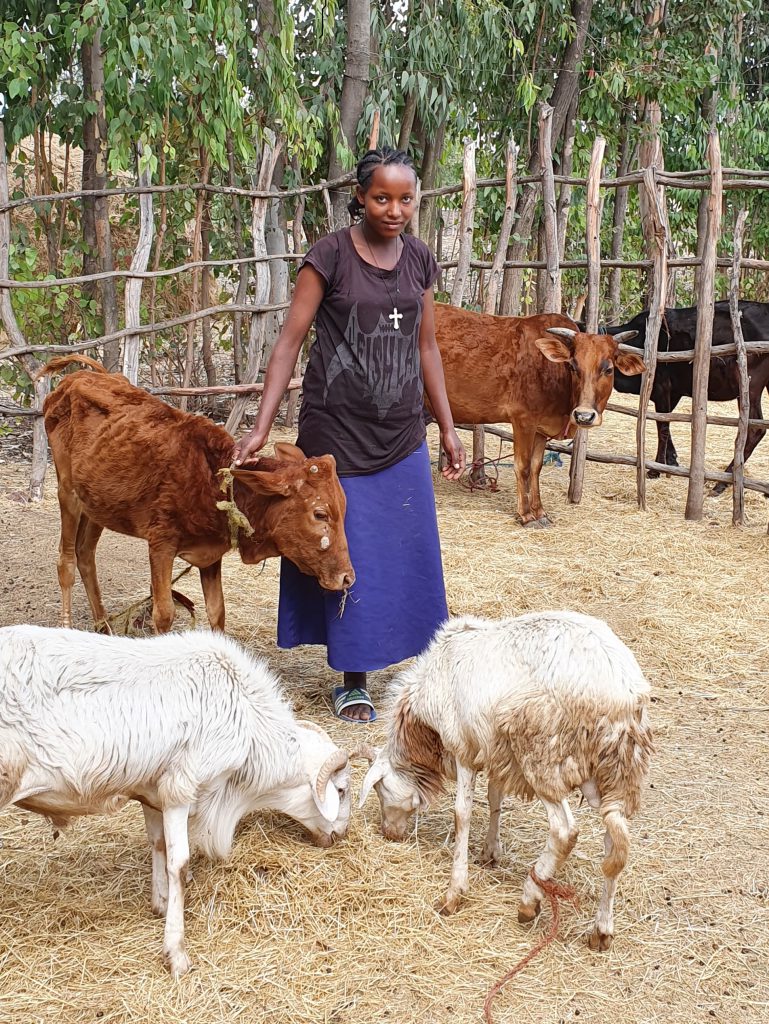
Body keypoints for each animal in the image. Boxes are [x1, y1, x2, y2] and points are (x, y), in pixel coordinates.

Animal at [0, 622, 360, 974]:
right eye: (341, 791)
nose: (340, 835)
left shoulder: (151, 790)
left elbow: (157, 845)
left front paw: (159, 903)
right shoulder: (180, 787)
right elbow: (178, 862)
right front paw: (176, 952)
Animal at [39, 358, 354, 630]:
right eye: (320, 514)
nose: (347, 578)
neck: (213, 482)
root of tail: (75, 378)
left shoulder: (210, 555)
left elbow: (217, 611)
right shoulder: (161, 545)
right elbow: (164, 614)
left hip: (96, 504)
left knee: (85, 555)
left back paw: (104, 627)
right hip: (67, 492)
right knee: (66, 562)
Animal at [358, 606, 651, 950]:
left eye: (380, 789)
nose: (389, 834)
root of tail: (621, 692)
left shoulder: (463, 748)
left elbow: (462, 814)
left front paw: (454, 892)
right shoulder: (495, 750)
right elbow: (494, 798)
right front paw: (489, 852)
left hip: (542, 753)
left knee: (565, 831)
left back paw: (530, 900)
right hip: (615, 771)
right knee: (615, 845)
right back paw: (601, 930)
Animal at [434, 301, 643, 528]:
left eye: (609, 369)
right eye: (573, 366)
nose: (584, 416)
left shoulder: (541, 429)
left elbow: (536, 468)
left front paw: (540, 512)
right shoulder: (523, 420)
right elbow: (523, 467)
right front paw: (526, 515)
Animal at [606, 299, 769, 491]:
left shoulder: (661, 388)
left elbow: (662, 426)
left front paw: (655, 469)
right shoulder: (674, 392)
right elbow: (665, 424)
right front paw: (671, 460)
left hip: (749, 387)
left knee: (756, 428)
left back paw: (721, 483)